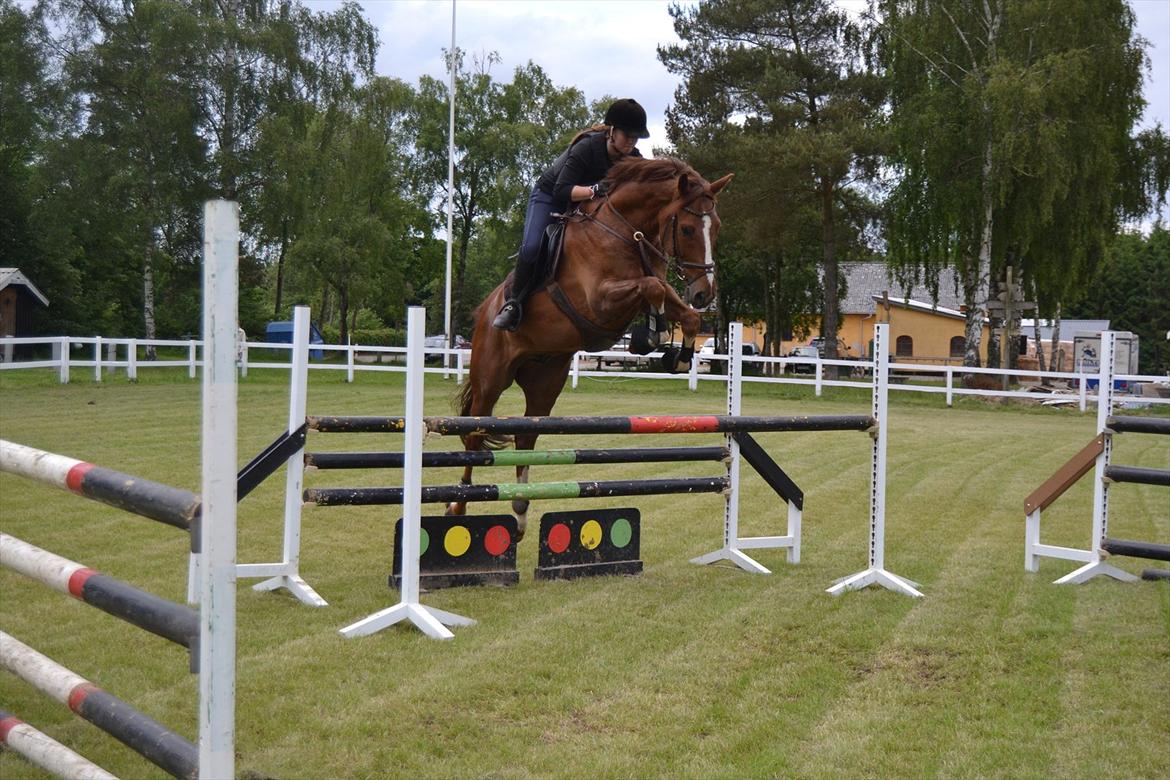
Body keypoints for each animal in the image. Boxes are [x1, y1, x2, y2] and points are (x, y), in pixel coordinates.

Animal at [446, 159, 730, 537]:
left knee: (526, 436)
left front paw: (678, 357)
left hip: (545, 381)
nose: (704, 293)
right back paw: (457, 506)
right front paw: (651, 335)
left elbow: (685, 313)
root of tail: (486, 310)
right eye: (686, 229)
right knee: (475, 436)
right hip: (490, 379)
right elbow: (652, 288)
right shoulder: (601, 300)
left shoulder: (653, 290)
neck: (626, 231)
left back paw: (520, 512)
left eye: (717, 228)